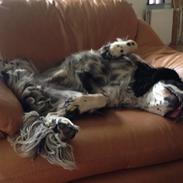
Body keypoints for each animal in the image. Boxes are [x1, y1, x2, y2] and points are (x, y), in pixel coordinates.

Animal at [1, 38, 183, 169]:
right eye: (179, 84)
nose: (180, 104)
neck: (132, 83)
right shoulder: (101, 58)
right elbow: (125, 48)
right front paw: (123, 46)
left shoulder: (109, 95)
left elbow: (101, 99)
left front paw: (77, 104)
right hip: (22, 67)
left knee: (48, 116)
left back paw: (65, 125)